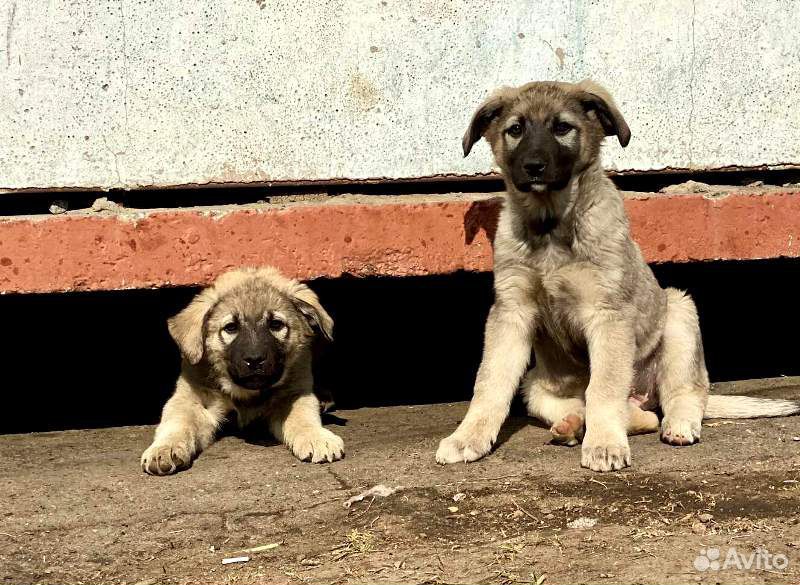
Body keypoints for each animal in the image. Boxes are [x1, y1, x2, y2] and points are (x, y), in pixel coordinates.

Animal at [142, 266, 342, 472]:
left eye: (276, 324)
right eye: (231, 327)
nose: (255, 360)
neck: (247, 394)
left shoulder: (294, 393)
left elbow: (302, 417)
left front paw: (316, 437)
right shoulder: (189, 399)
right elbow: (178, 422)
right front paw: (165, 448)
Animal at [438, 78, 800, 470]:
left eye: (562, 128)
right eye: (515, 130)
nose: (534, 166)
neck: (551, 226)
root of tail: (645, 395)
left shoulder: (607, 314)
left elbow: (605, 386)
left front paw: (604, 444)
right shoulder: (511, 311)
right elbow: (489, 383)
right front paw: (468, 437)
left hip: (679, 312)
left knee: (680, 396)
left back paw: (675, 425)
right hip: (534, 384)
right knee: (622, 410)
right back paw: (573, 424)